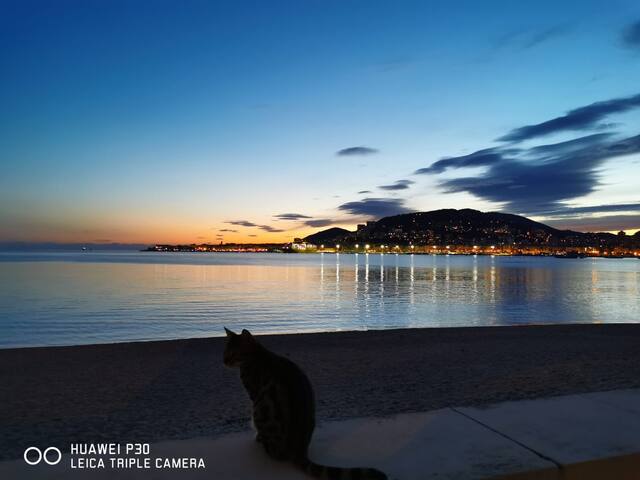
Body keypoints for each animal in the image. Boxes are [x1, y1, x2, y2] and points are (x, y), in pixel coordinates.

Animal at [222, 328, 388, 480]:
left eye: (233, 354)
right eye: (224, 352)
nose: (224, 361)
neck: (258, 355)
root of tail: (298, 450)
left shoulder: (253, 393)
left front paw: (256, 435)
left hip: (259, 410)